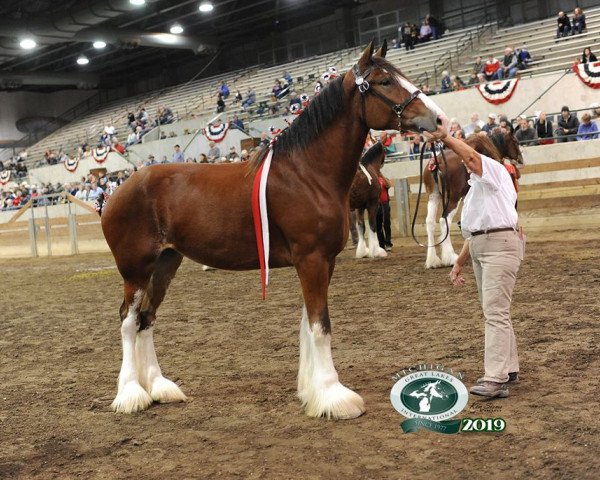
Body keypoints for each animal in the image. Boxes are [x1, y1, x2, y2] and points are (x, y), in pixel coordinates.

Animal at [99, 42, 446, 420]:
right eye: (384, 81)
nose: (440, 120)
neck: (308, 174)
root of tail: (116, 190)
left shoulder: (323, 261)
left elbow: (309, 325)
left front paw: (312, 392)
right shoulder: (311, 260)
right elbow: (320, 327)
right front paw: (334, 396)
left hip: (165, 264)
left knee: (146, 318)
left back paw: (159, 388)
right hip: (136, 269)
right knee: (128, 320)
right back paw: (131, 394)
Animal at [422, 129, 520, 268]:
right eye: (515, 141)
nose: (520, 159)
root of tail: (437, 161)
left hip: (433, 196)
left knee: (430, 221)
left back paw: (432, 260)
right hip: (453, 198)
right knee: (444, 221)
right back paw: (450, 257)